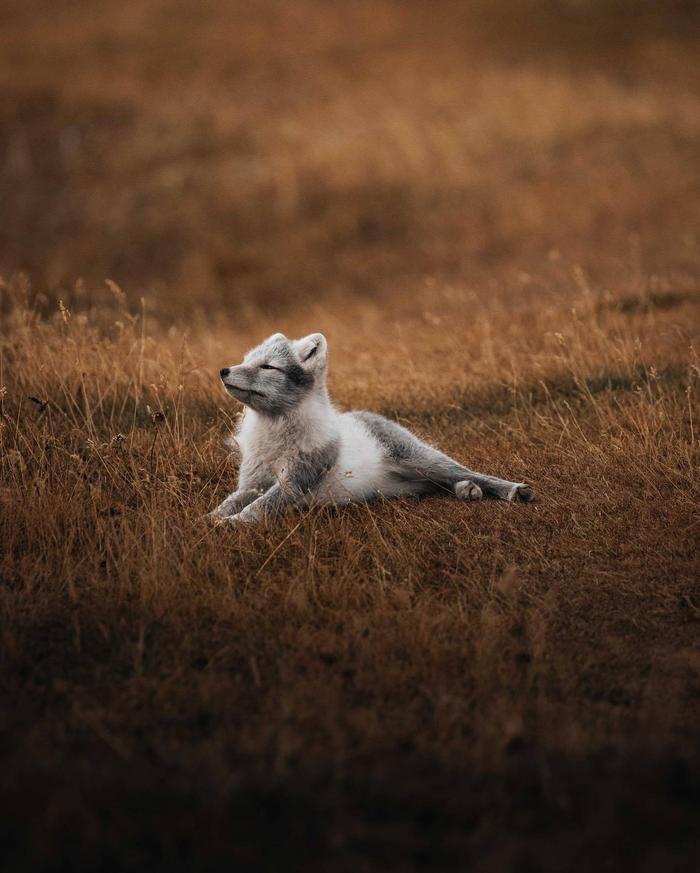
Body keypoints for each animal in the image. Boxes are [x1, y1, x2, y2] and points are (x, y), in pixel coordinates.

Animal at [211, 332, 532, 524]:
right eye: (245, 360)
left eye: (268, 367)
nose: (223, 370)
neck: (274, 433)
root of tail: (373, 415)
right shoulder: (251, 482)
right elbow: (232, 501)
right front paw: (210, 519)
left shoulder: (296, 480)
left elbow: (259, 507)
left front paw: (229, 524)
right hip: (416, 479)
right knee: (441, 485)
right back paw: (467, 490)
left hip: (422, 461)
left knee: (473, 473)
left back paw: (512, 490)